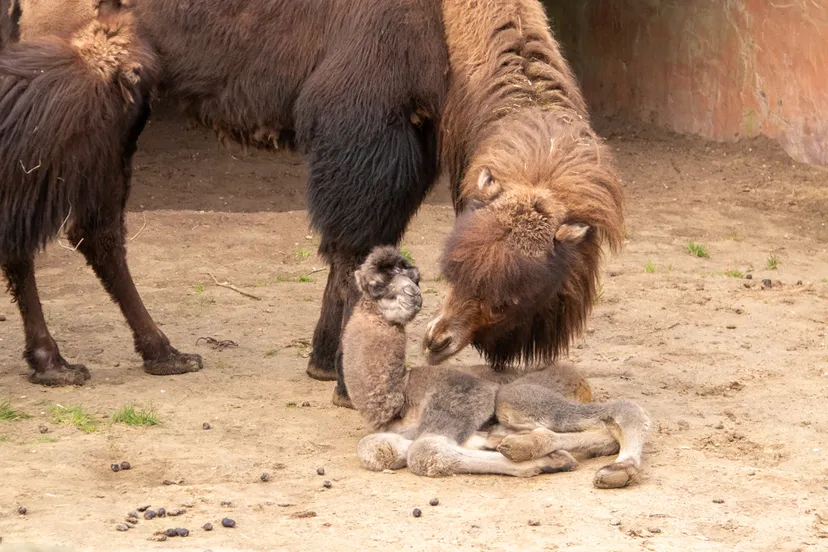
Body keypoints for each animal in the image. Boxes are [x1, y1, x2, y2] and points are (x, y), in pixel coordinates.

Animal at [340, 247, 652, 488]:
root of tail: (581, 380)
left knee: (621, 412)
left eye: (415, 278)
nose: (413, 294)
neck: (400, 394)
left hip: (516, 396)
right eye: (376, 285)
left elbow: (426, 448)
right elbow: (375, 447)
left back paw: (615, 470)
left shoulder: (462, 390)